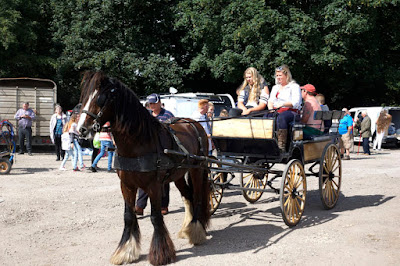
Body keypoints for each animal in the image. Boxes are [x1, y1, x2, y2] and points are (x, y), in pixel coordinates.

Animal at [76, 71, 211, 264]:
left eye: (100, 98)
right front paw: (125, 251)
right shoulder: (126, 185)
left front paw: (161, 254)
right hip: (178, 175)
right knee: (188, 197)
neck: (139, 142)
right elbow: (128, 216)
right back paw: (187, 229)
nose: (81, 130)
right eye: (85, 97)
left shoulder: (153, 185)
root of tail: (194, 123)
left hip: (197, 169)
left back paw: (196, 231)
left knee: (198, 197)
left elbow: (155, 217)